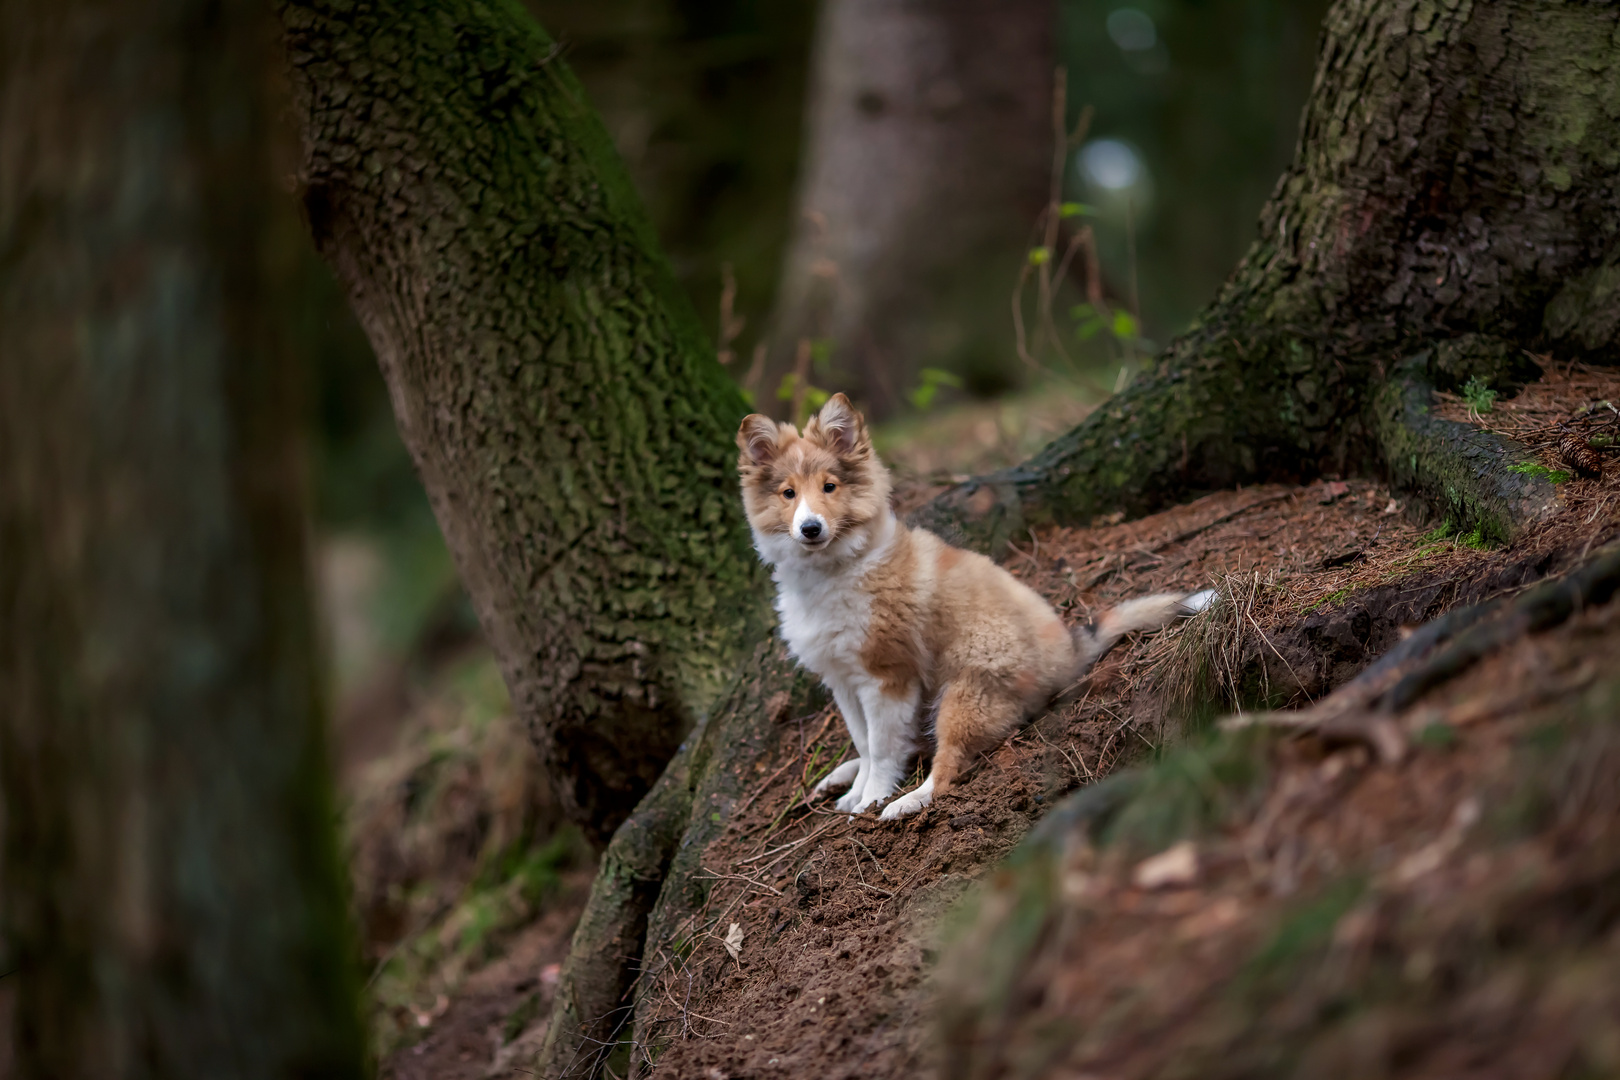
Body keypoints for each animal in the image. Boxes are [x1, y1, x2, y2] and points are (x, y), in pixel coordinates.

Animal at [741, 395, 1211, 819]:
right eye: (788, 493)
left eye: (830, 487)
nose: (810, 528)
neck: (836, 569)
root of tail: (1068, 653)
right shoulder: (842, 678)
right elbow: (864, 741)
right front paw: (857, 790)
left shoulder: (887, 677)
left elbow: (882, 746)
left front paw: (870, 799)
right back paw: (843, 776)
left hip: (965, 692)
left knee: (947, 766)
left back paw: (906, 802)